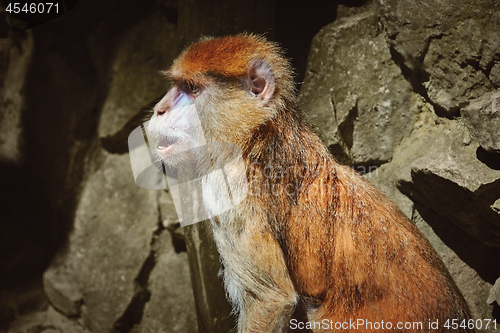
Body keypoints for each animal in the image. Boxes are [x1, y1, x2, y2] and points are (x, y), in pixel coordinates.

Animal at [146, 35, 472, 330]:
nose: (159, 109)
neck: (259, 134)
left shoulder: (228, 183)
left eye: (192, 88)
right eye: (177, 85)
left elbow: (271, 299)